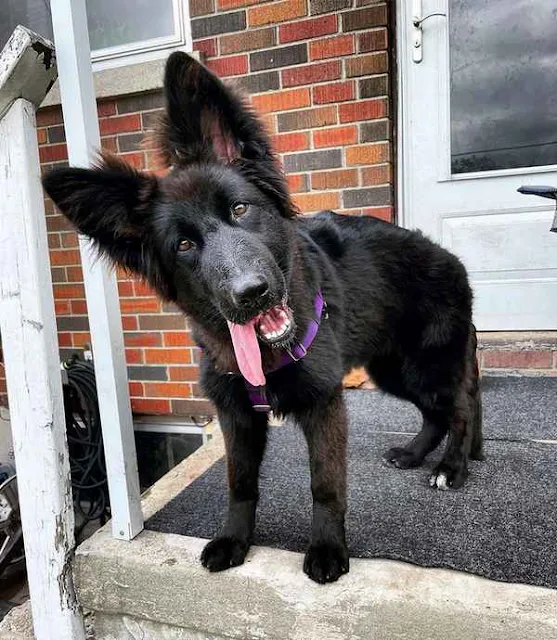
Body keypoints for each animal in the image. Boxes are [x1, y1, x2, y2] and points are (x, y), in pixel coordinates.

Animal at [42, 52, 482, 584]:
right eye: (184, 245)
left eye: (240, 209)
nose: (251, 294)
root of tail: (450, 258)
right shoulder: (236, 416)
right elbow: (241, 485)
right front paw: (235, 539)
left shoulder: (324, 404)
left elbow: (325, 486)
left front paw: (328, 548)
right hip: (391, 369)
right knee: (435, 411)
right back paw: (416, 453)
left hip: (426, 363)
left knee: (459, 406)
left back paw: (451, 469)